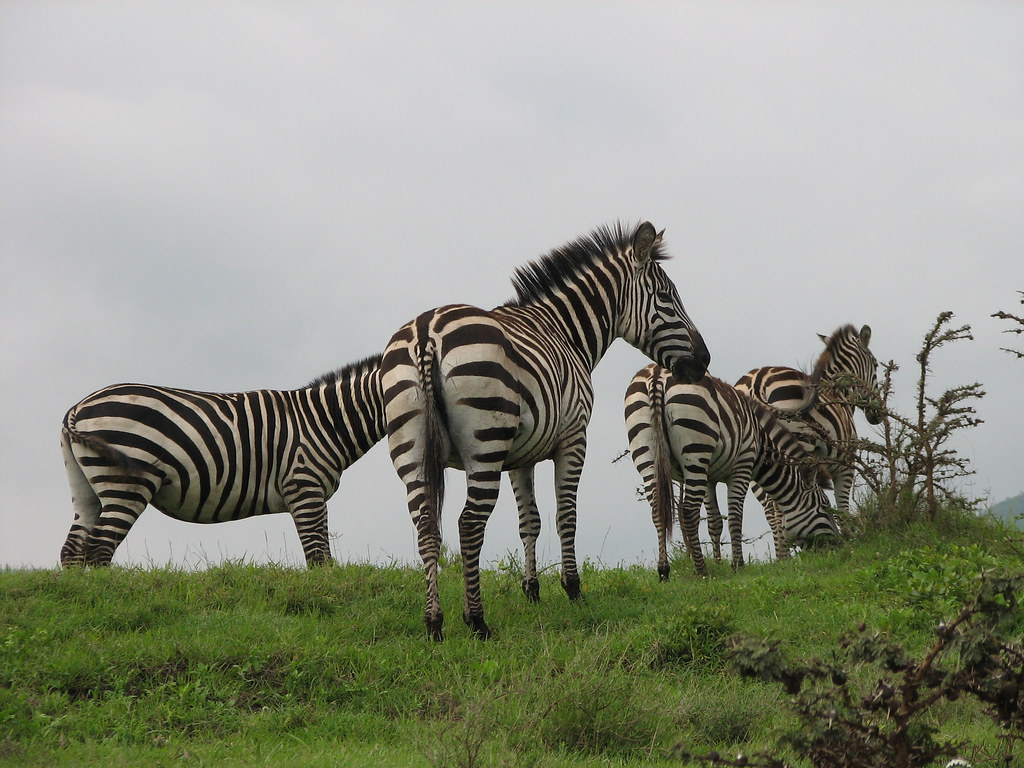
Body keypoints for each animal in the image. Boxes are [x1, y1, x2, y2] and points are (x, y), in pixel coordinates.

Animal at [59, 353, 386, 568]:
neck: (324, 420)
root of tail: (78, 407)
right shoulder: (304, 487)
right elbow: (320, 559)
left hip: (85, 485)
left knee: (72, 550)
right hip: (127, 483)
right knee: (99, 549)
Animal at [382, 221, 711, 640]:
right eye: (667, 298)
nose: (704, 361)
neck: (566, 332)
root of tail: (427, 331)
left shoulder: (520, 457)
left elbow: (530, 522)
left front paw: (532, 590)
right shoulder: (573, 438)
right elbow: (565, 515)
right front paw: (573, 589)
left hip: (411, 447)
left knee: (426, 526)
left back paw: (434, 623)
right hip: (484, 445)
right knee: (469, 524)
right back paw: (477, 621)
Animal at [624, 367, 838, 580]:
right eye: (825, 507)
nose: (838, 546)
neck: (760, 441)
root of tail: (657, 376)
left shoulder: (709, 478)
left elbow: (715, 522)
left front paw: (719, 563)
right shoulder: (742, 465)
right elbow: (735, 517)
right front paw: (738, 565)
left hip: (648, 455)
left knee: (657, 510)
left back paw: (663, 571)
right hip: (695, 450)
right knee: (689, 511)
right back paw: (702, 571)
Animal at [733, 324, 882, 539]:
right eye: (876, 365)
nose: (878, 413)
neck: (838, 390)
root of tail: (756, 383)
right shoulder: (845, 464)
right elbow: (842, 507)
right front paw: (848, 541)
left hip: (753, 456)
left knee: (771, 510)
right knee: (781, 507)